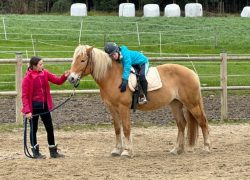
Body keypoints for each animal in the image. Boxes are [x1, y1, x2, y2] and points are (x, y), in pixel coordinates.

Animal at [67, 45, 210, 158]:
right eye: (74, 59)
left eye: (82, 60)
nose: (71, 78)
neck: (113, 77)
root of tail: (192, 72)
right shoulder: (112, 108)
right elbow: (117, 128)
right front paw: (117, 150)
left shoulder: (123, 107)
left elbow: (126, 128)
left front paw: (127, 151)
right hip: (175, 104)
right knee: (181, 124)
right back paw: (177, 149)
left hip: (192, 104)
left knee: (203, 122)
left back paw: (206, 148)